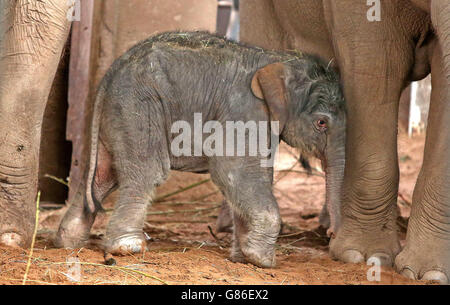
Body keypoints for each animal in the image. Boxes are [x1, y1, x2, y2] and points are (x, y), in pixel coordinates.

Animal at [54, 30, 346, 266]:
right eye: (321, 123)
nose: (331, 233)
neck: (277, 59)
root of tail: (109, 74)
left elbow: (255, 175)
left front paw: (242, 258)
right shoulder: (243, 109)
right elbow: (233, 169)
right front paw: (262, 260)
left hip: (118, 114)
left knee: (103, 176)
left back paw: (68, 241)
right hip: (138, 106)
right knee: (147, 171)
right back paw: (128, 247)